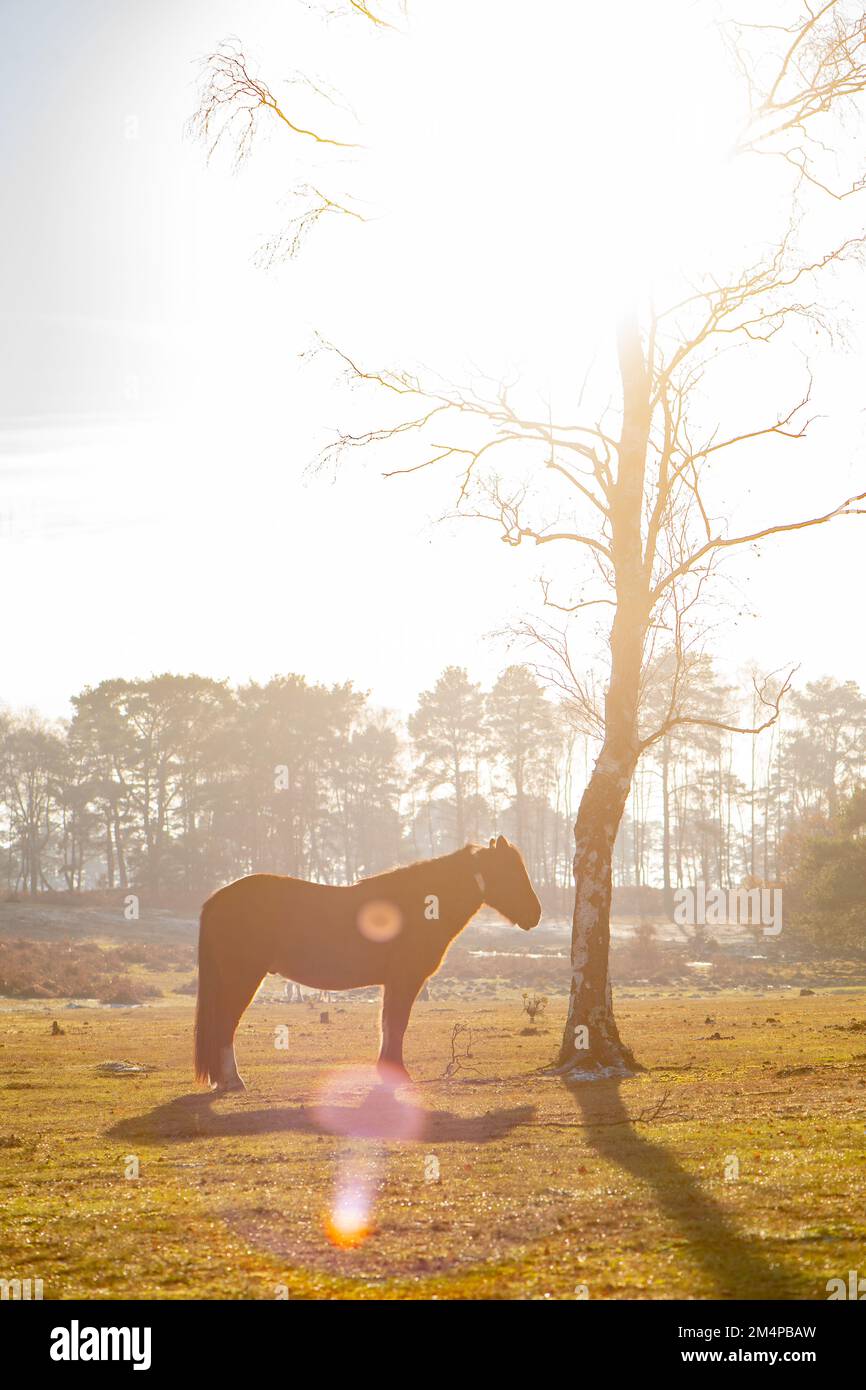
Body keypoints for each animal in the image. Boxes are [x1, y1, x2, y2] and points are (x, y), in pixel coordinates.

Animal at [194, 828, 542, 1089]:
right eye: (511, 872)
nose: (535, 914)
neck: (421, 906)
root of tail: (216, 898)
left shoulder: (394, 982)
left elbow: (388, 1024)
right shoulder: (405, 979)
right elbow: (397, 1024)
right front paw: (398, 1074)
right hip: (243, 978)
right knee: (225, 1024)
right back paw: (232, 1080)